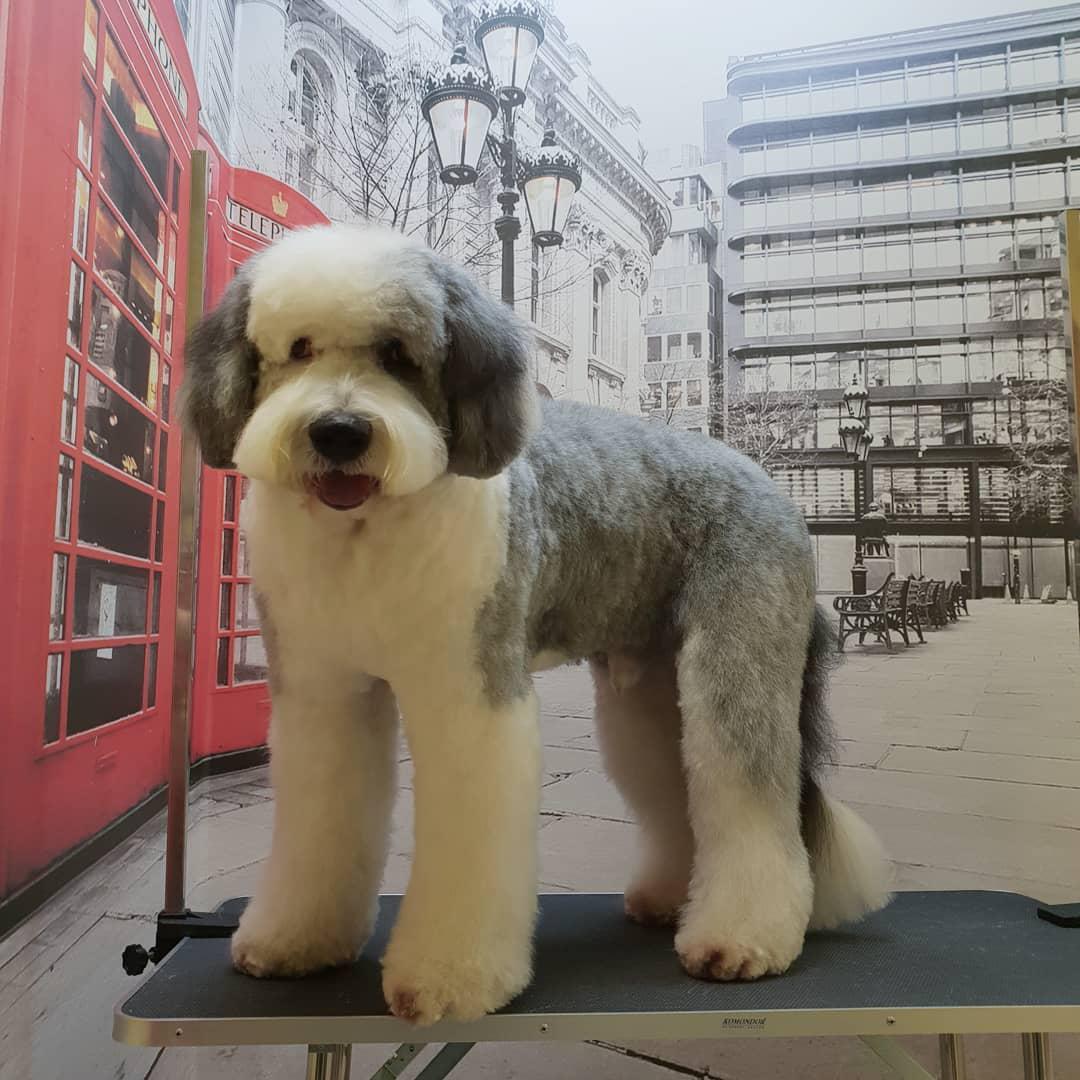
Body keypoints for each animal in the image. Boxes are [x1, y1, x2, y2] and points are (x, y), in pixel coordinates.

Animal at [183, 223, 894, 1023]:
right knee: (679, 788)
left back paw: (740, 939)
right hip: (649, 693)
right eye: (299, 347)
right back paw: (671, 900)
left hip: (735, 666)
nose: (339, 432)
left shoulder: (469, 690)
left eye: (397, 353)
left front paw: (448, 978)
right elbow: (322, 812)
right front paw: (293, 943)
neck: (365, 532)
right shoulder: (323, 692)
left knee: (749, 795)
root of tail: (771, 483)